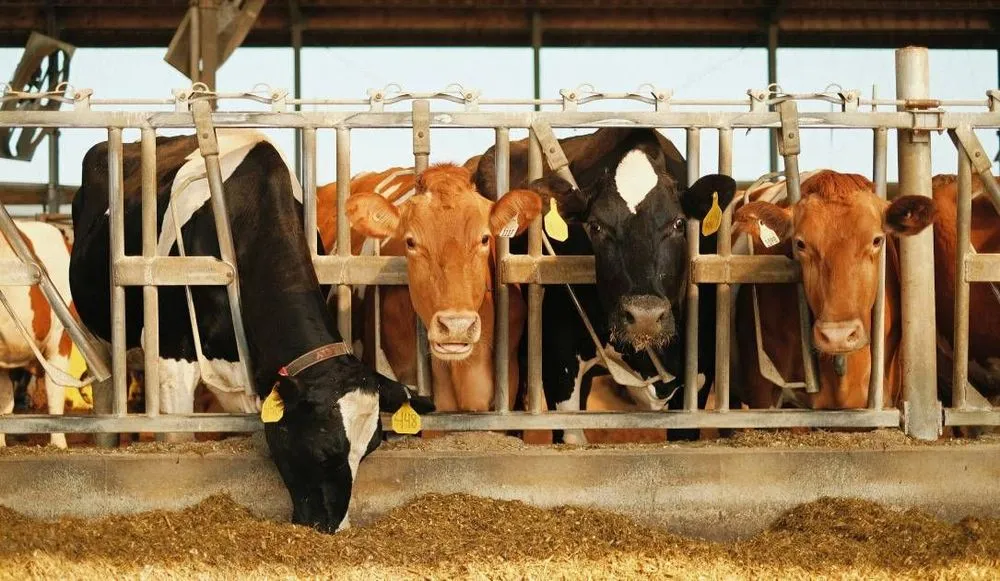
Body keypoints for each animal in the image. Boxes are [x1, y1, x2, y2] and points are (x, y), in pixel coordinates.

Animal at [70, 129, 433, 532]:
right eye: (324, 449)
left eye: (369, 449)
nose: (335, 528)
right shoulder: (170, 356)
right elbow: (177, 436)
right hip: (98, 332)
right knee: (105, 389)